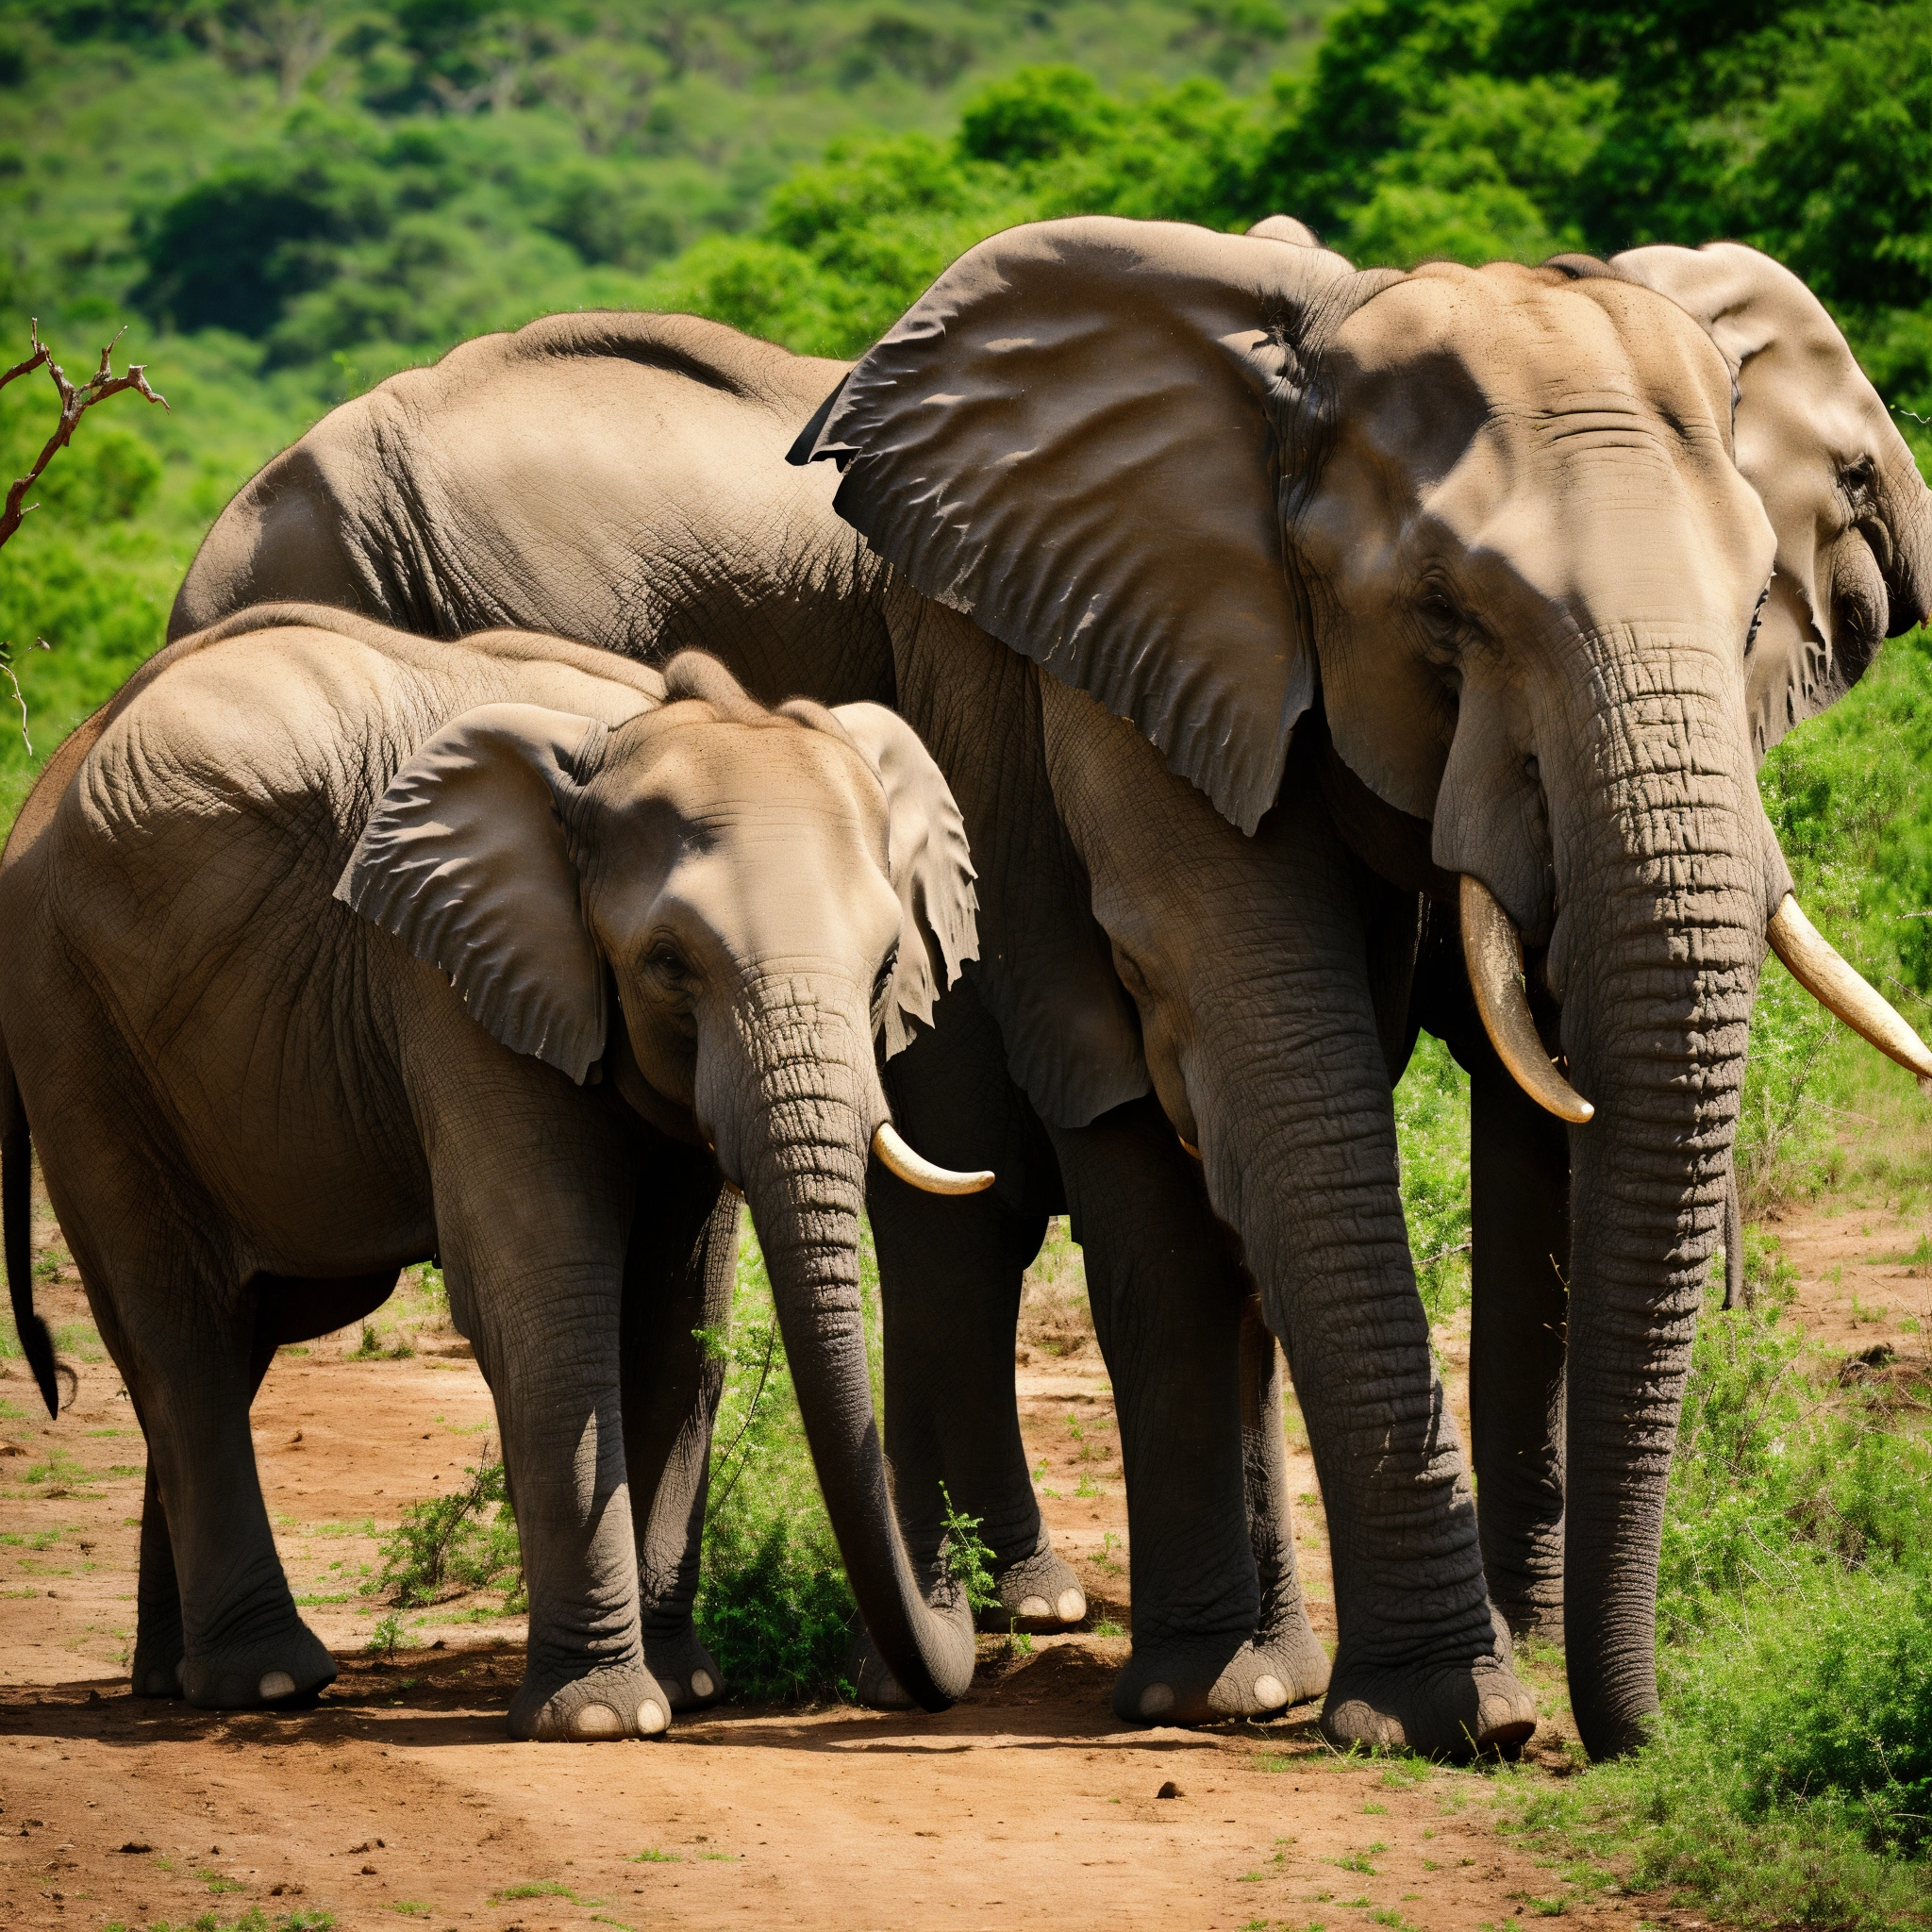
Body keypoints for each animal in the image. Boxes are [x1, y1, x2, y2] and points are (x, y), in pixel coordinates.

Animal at [0, 602, 990, 1738]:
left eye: (885, 968)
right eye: (667, 965)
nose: (951, 1604)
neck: (632, 730)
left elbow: (675, 1321)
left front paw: (685, 1690)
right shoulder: (449, 977)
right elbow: (547, 1299)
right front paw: (606, 1719)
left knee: (226, 1341)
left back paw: (174, 1678)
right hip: (71, 1024)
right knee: (181, 1337)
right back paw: (267, 1682)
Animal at [164, 219, 1932, 1758]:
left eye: (1755, 605)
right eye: (1445, 612)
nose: (1628, 1734)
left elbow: (1479, 1105)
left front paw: (1415, 1672)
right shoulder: (1114, 655)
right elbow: (1247, 1074)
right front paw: (1405, 1709)